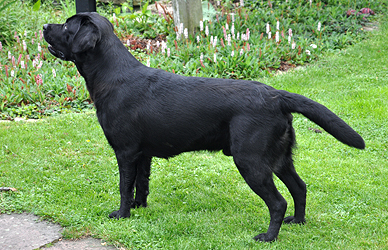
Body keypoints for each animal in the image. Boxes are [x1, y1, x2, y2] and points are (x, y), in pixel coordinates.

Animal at [44, 12, 366, 241]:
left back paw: (268, 237)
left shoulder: (125, 151)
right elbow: (141, 184)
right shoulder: (142, 154)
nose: (45, 25)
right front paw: (138, 208)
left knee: (278, 202)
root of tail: (276, 95)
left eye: (67, 26)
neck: (112, 74)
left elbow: (125, 186)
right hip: (279, 157)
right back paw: (298, 222)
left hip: (250, 160)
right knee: (299, 188)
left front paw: (122, 214)